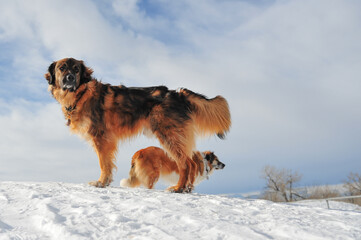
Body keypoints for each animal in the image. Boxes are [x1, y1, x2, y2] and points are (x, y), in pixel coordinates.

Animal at [45, 58, 231, 193]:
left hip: (169, 135)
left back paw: (178, 188)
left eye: (76, 69)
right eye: (62, 68)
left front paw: (101, 183)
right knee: (191, 163)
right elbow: (107, 164)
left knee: (186, 163)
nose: (69, 78)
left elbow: (104, 163)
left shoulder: (101, 138)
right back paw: (186, 188)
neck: (80, 94)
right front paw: (105, 182)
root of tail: (179, 94)